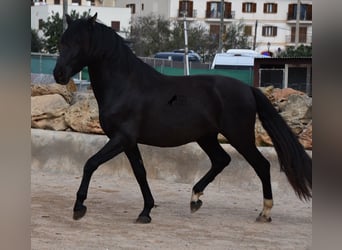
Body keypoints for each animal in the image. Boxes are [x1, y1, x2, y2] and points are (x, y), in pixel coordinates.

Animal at [53, 13, 312, 224]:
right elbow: (140, 172)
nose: (58, 74)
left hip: (239, 136)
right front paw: (146, 211)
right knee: (221, 160)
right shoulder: (129, 142)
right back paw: (195, 198)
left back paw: (265, 212)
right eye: (62, 42)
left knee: (261, 165)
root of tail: (248, 89)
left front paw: (79, 207)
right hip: (207, 137)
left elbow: (90, 164)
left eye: (79, 43)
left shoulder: (121, 138)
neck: (125, 85)